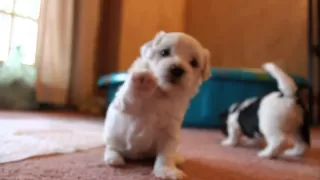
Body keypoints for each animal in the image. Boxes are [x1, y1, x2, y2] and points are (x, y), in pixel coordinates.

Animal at [104, 31, 211, 179]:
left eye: (194, 62)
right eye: (164, 52)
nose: (177, 69)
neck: (161, 93)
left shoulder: (170, 132)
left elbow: (166, 154)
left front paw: (167, 170)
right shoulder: (125, 106)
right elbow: (130, 98)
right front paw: (143, 81)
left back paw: (177, 158)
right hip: (112, 135)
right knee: (111, 147)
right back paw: (113, 157)